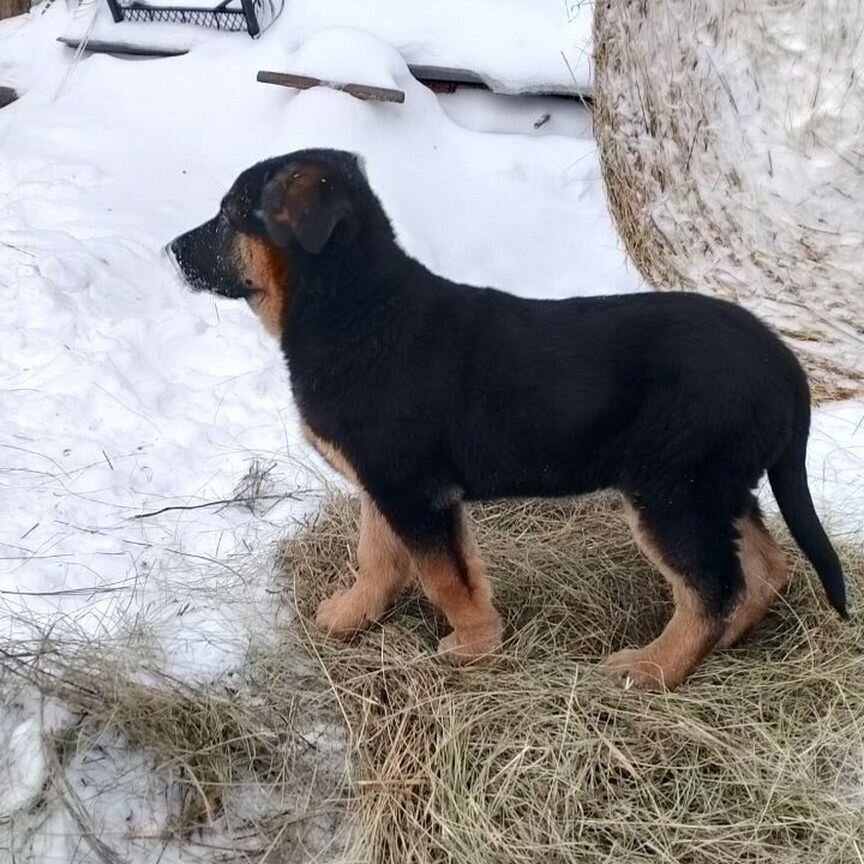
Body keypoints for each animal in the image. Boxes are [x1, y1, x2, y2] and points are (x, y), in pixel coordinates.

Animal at [167, 147, 844, 688]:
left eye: (231, 214)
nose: (170, 250)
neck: (355, 308)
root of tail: (784, 363)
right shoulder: (384, 484)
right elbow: (378, 556)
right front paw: (352, 616)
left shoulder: (417, 492)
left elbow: (445, 578)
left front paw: (473, 648)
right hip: (716, 485)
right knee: (766, 568)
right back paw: (726, 643)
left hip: (673, 489)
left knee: (712, 588)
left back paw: (652, 669)